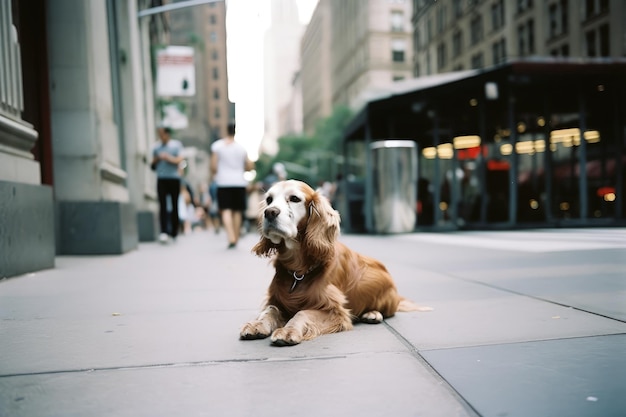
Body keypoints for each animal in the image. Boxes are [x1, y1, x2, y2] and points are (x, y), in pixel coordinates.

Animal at [239, 179, 428, 344]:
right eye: (269, 199)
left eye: (294, 199)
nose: (269, 212)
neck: (298, 269)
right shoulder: (276, 299)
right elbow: (269, 310)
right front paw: (256, 324)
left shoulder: (335, 311)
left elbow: (303, 313)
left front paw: (288, 330)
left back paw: (372, 314)